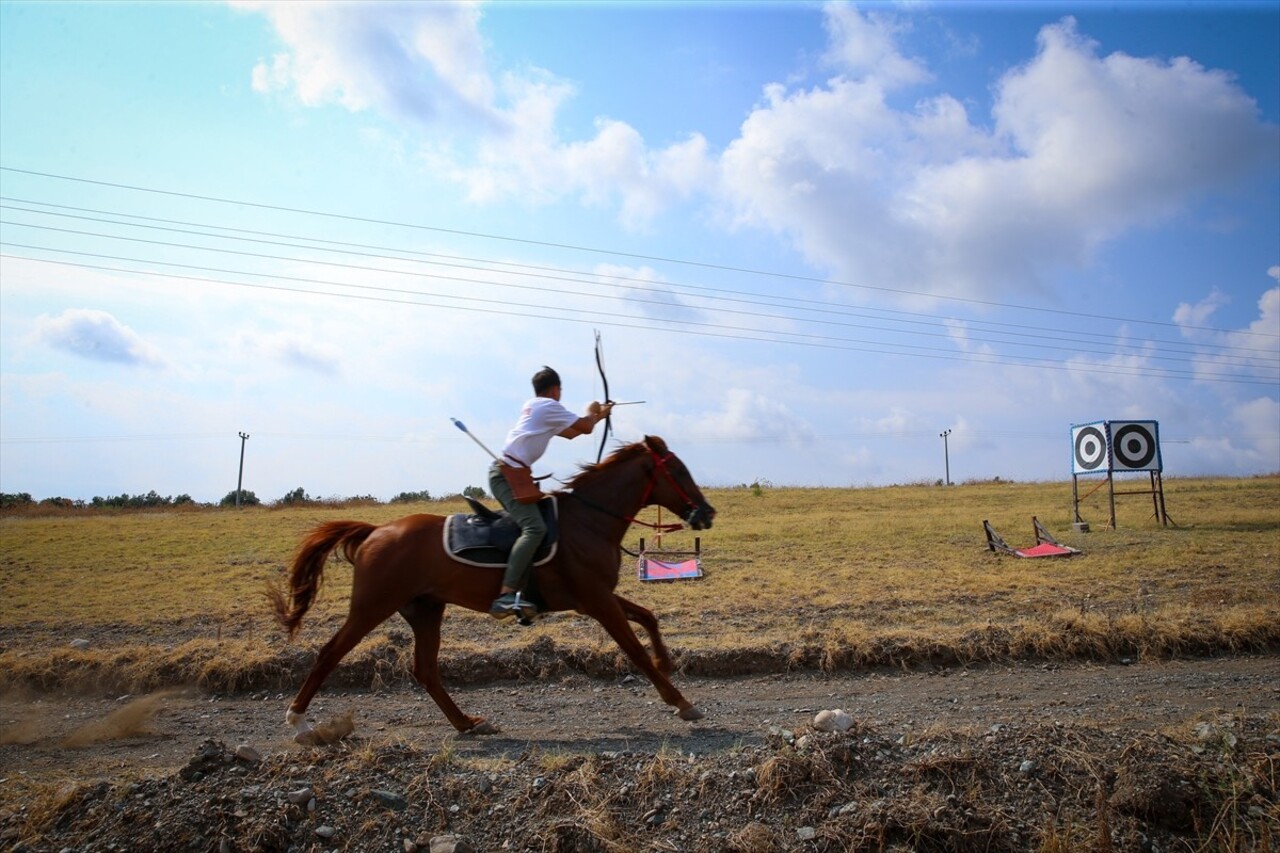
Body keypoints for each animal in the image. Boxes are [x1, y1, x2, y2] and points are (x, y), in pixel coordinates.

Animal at [270, 432, 716, 737]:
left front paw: (667, 662)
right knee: (331, 652)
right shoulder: (596, 601)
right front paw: (681, 701)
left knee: (425, 670)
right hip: (372, 607)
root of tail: (377, 531)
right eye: (678, 470)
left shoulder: (598, 596)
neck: (587, 521)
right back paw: (298, 720)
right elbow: (635, 651)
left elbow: (649, 617)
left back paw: (466, 722)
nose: (707, 512)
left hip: (425, 610)